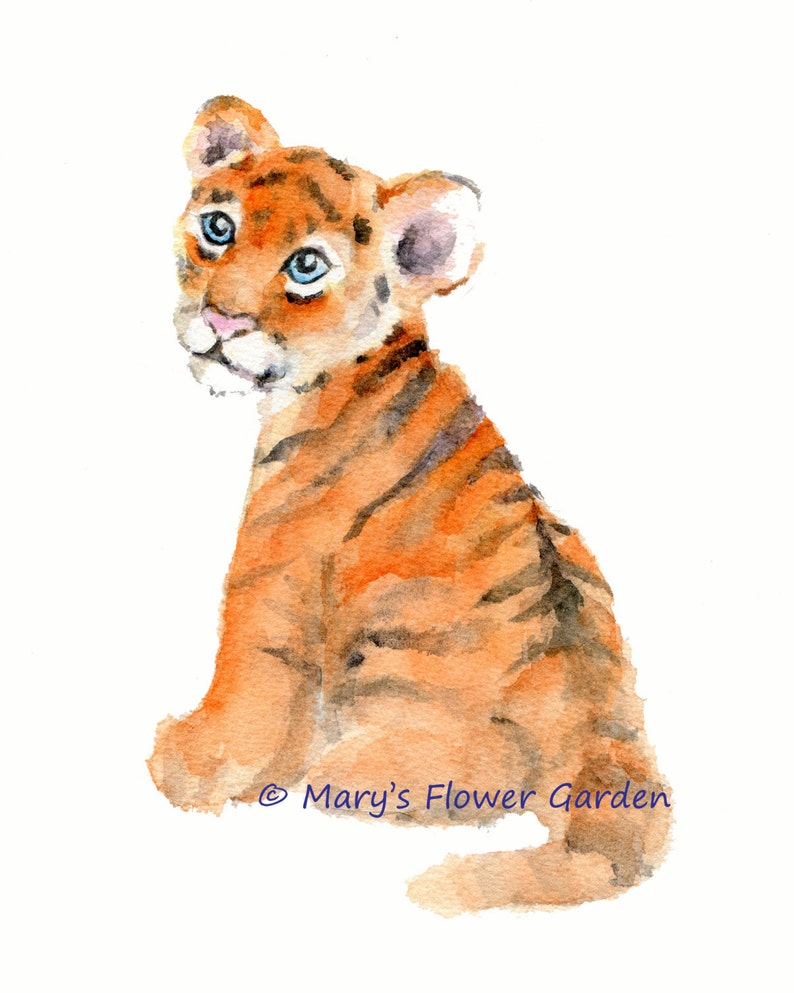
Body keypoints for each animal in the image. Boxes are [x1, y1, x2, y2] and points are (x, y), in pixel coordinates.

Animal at [148, 95, 671, 915]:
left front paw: (185, 766)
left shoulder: (272, 569)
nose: (222, 320)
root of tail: (597, 724)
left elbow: (247, 678)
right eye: (219, 227)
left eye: (306, 266)